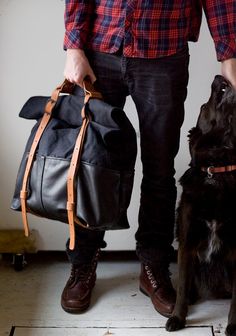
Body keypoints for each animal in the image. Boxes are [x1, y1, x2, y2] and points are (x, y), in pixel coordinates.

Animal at [166, 76, 236, 336]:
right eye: (204, 107)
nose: (219, 77)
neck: (216, 170)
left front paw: (233, 324)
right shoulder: (187, 243)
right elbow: (182, 288)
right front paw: (177, 318)